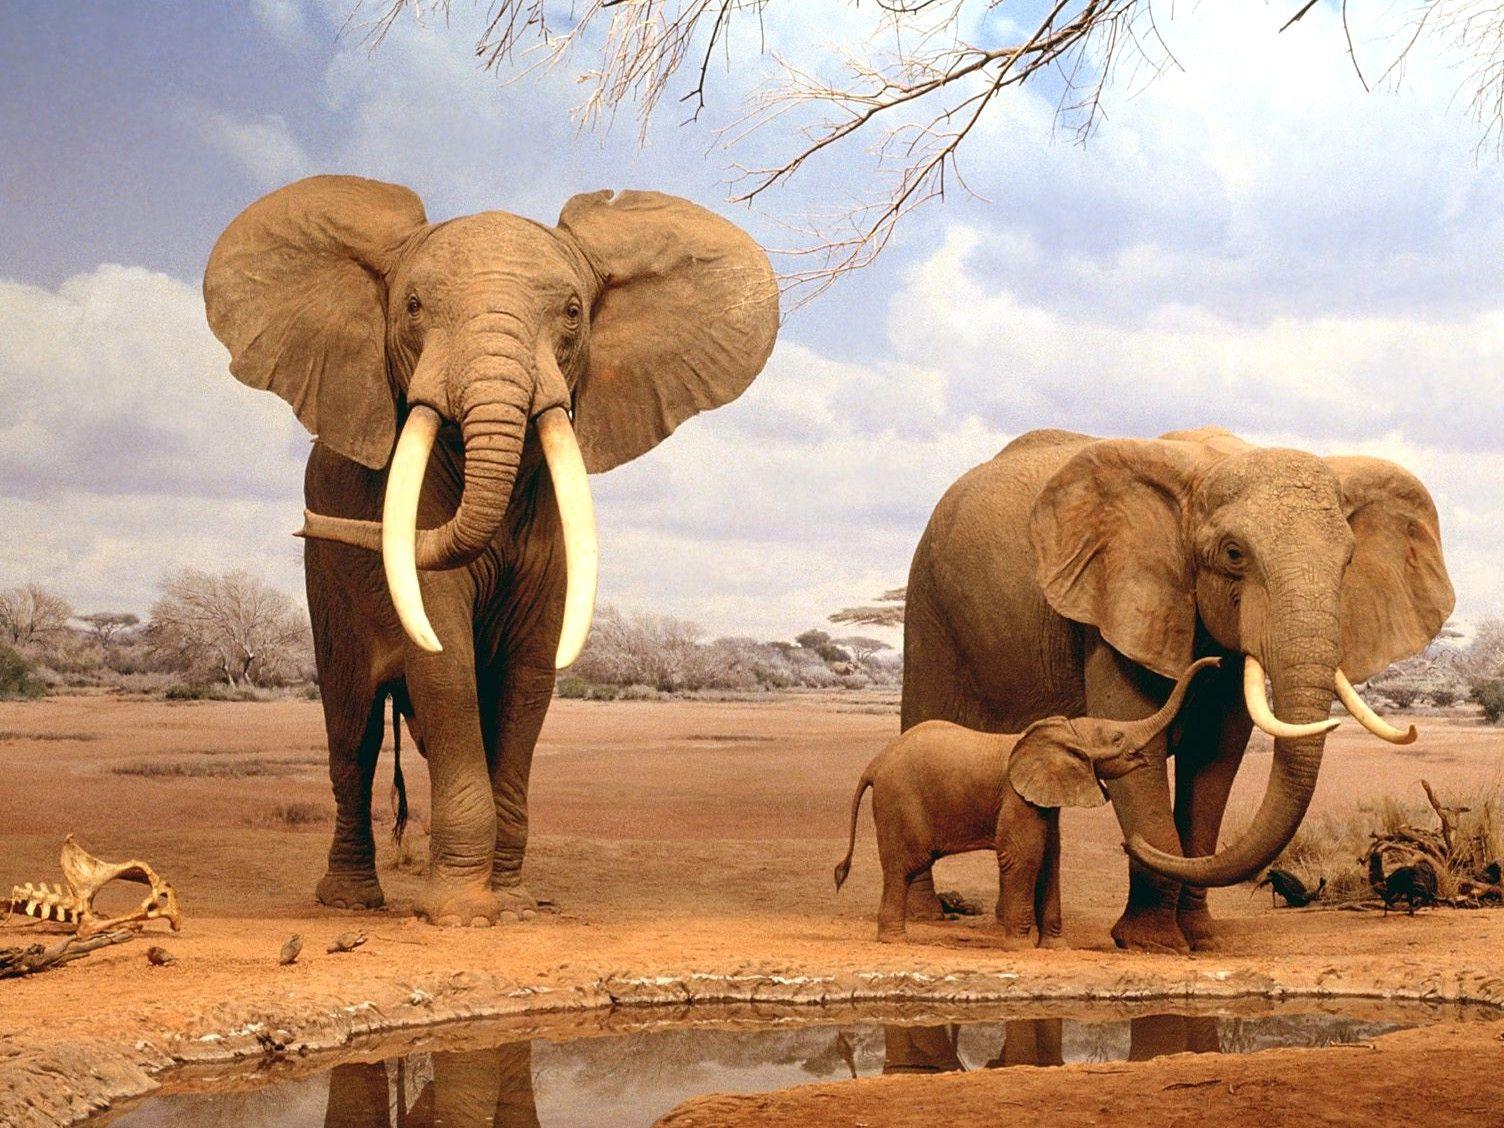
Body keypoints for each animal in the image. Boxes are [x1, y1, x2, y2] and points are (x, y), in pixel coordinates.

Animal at [204, 175, 778, 926]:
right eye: (413, 307)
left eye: (572, 312)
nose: (307, 524)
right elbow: (444, 663)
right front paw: (462, 914)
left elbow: (529, 674)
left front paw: (514, 903)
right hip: (325, 585)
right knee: (352, 735)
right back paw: (351, 901)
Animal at [834, 657, 1221, 945]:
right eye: (1116, 737)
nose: (1217, 662)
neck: (1062, 732)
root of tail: (874, 764)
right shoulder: (1016, 797)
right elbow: (1024, 856)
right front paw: (1019, 946)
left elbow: (1050, 858)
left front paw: (1055, 947)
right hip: (899, 800)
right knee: (903, 865)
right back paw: (895, 939)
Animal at [902, 426, 1453, 953]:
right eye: (1233, 554)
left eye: (1349, 560)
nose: (1129, 845)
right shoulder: (1119, 607)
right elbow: (1140, 746)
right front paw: (1154, 944)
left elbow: (1215, 760)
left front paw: (1202, 940)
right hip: (928, 604)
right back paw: (924, 917)